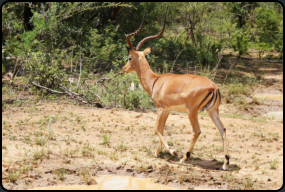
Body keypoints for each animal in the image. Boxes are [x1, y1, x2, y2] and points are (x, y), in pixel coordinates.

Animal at [121, 14, 230, 170]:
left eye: (129, 58)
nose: (123, 69)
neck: (156, 81)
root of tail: (214, 86)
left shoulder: (160, 108)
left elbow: (156, 128)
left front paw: (171, 151)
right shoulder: (167, 110)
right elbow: (161, 128)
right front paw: (158, 152)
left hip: (192, 112)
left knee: (197, 131)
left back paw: (184, 158)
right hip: (212, 111)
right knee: (223, 129)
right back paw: (225, 163)